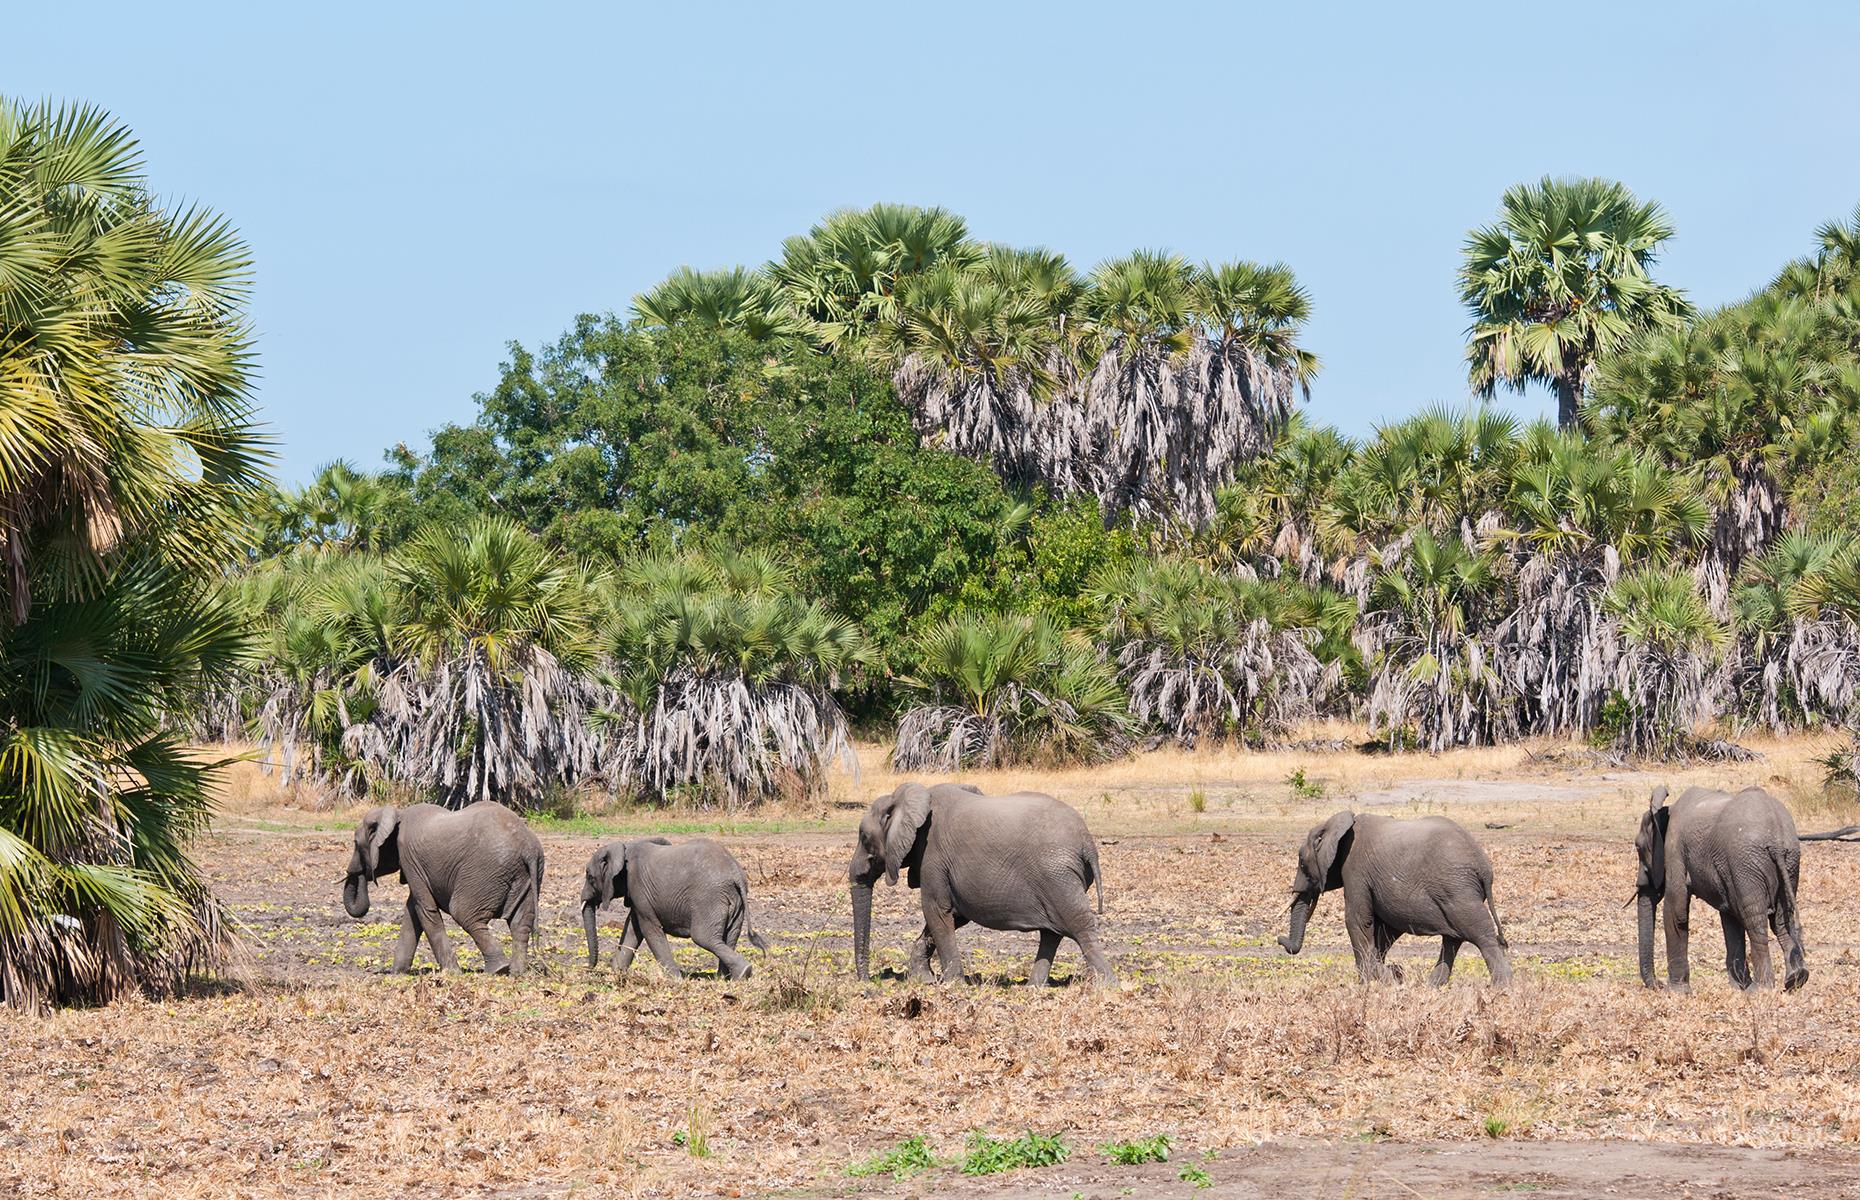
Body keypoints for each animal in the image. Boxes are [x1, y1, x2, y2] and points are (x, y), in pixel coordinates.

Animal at [342, 796, 543, 974]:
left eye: (355, 843)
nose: (358, 872)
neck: (397, 813)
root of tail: (528, 848)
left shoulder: (409, 858)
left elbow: (425, 909)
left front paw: (452, 973)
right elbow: (412, 911)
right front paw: (397, 973)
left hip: (487, 872)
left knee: (463, 912)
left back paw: (499, 969)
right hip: (524, 876)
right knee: (520, 922)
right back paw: (517, 972)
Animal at [576, 837, 766, 974]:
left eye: (589, 877)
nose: (588, 968)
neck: (624, 847)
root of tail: (736, 873)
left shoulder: (639, 887)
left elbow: (649, 929)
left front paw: (675, 979)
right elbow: (633, 928)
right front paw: (618, 972)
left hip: (709, 900)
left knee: (704, 938)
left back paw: (744, 972)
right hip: (735, 902)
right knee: (730, 937)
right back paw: (726, 978)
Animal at [851, 781, 1108, 989]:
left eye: (864, 838)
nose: (868, 982)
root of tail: (1088, 843)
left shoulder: (932, 856)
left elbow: (936, 911)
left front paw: (951, 985)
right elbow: (953, 915)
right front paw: (925, 980)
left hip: (1057, 876)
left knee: (1078, 926)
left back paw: (1107, 985)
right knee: (1052, 933)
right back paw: (1033, 988)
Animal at [1279, 803, 1510, 982]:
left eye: (1301, 862)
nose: (1279, 939)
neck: (1336, 825)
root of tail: (1485, 869)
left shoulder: (1355, 869)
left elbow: (1357, 920)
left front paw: (1370, 983)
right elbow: (1384, 929)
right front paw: (1387, 977)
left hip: (1458, 890)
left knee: (1482, 935)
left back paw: (1501, 987)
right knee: (1453, 940)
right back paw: (1432, 987)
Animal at [1636, 781, 1807, 989]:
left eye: (1638, 847)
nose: (1658, 985)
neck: (1666, 810)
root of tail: (1776, 841)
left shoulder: (1675, 850)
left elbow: (1676, 910)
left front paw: (1677, 991)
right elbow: (1730, 917)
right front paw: (1740, 988)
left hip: (1746, 862)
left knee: (1755, 920)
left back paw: (1762, 988)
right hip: (1788, 862)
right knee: (1781, 919)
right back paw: (1796, 979)